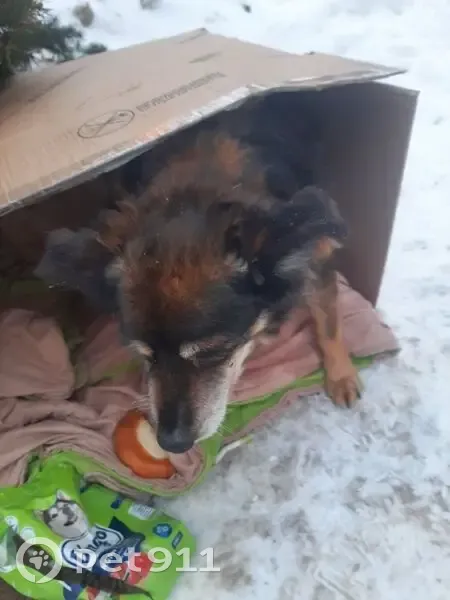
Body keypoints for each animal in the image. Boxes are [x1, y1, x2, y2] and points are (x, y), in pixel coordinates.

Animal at [35, 92, 361, 454]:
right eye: (144, 355)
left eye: (213, 352)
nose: (172, 444)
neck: (197, 187)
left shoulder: (316, 254)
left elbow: (329, 322)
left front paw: (342, 375)